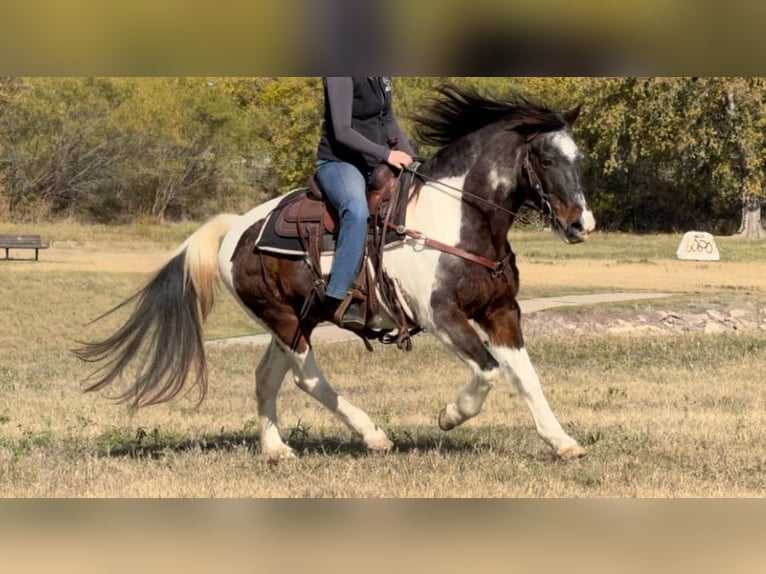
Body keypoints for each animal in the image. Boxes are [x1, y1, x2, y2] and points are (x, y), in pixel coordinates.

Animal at [75, 84, 595, 460]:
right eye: (547, 157)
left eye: (580, 158)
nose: (581, 224)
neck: (459, 220)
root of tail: (234, 229)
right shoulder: (442, 317)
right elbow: (488, 373)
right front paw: (449, 416)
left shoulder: (502, 312)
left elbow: (525, 377)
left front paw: (562, 442)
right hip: (286, 320)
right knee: (307, 379)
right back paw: (374, 436)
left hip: (293, 320)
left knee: (267, 377)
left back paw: (276, 449)